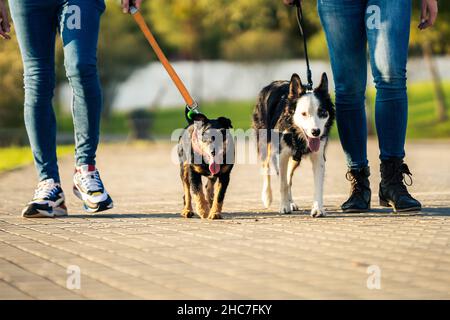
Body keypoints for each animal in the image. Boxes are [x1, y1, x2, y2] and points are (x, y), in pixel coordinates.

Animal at [253, 73, 334, 218]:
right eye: (304, 114)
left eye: (322, 113)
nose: (316, 132)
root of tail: (271, 84)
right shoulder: (281, 156)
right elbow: (282, 183)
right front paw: (284, 206)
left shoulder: (318, 157)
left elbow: (317, 185)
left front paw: (318, 209)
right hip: (264, 145)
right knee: (267, 168)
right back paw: (267, 197)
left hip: (295, 159)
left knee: (289, 177)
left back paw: (291, 202)